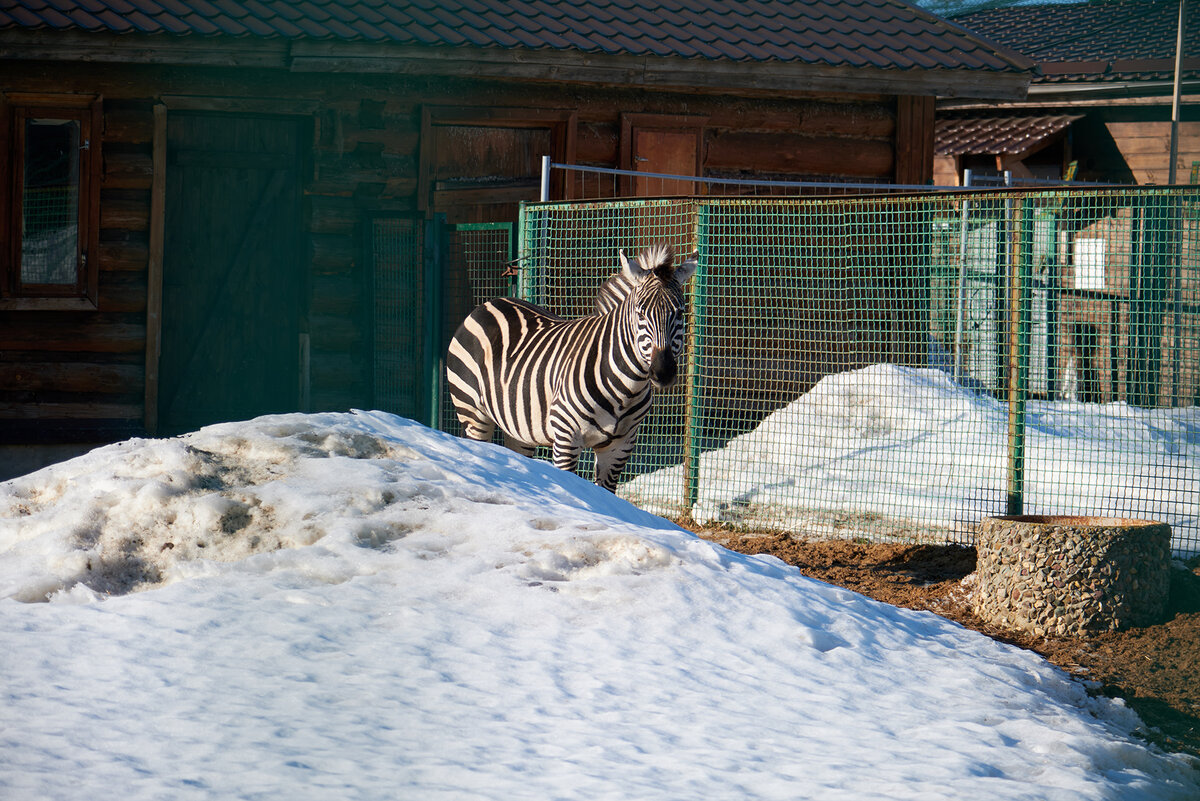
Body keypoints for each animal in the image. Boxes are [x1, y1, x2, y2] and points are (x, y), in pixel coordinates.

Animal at [446, 244, 700, 491]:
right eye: (640, 313)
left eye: (680, 312)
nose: (663, 372)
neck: (626, 389)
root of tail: (489, 303)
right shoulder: (566, 437)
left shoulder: (620, 447)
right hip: (473, 412)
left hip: (518, 429)